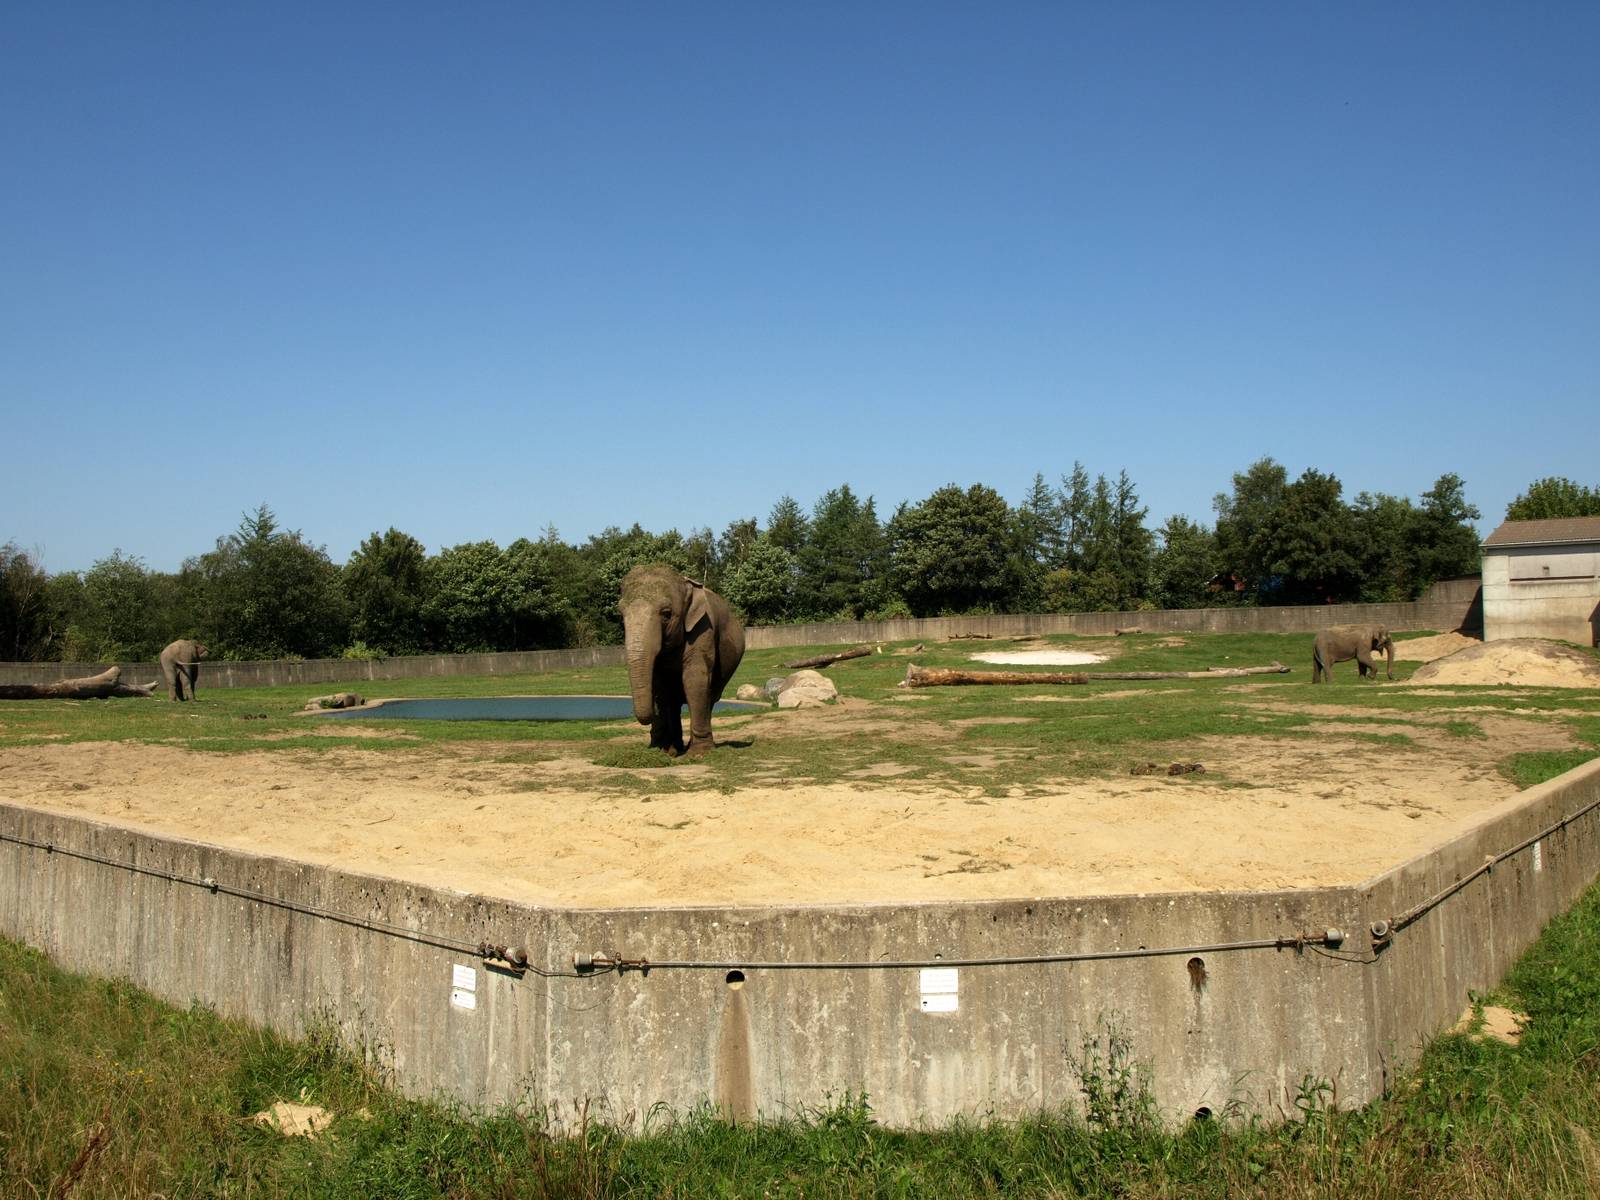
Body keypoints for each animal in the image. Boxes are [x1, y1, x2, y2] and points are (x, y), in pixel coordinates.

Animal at [620, 564, 745, 757]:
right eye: (620, 614)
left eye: (666, 614)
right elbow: (659, 684)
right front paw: (663, 750)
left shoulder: (703, 628)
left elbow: (694, 679)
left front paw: (699, 754)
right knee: (674, 701)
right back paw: (675, 746)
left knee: (709, 697)